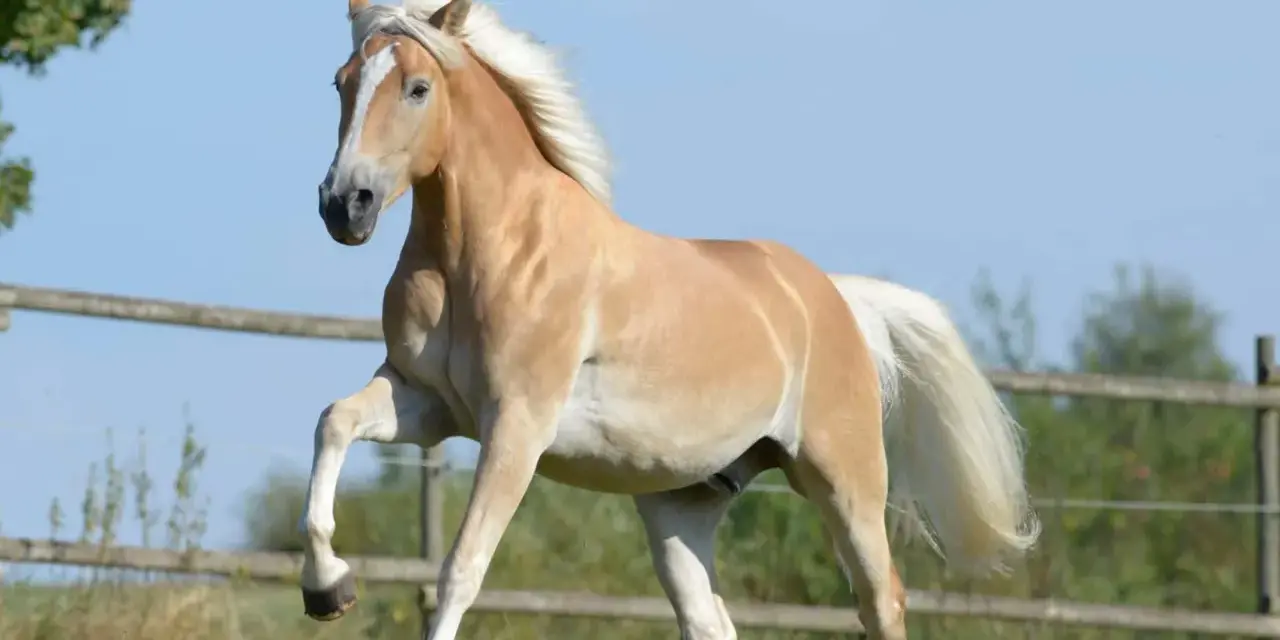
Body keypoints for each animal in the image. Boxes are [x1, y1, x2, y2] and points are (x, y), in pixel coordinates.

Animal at [297, 1, 1040, 638]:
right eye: (341, 83)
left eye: (418, 88)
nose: (344, 204)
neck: (488, 249)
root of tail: (834, 296)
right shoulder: (425, 404)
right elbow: (333, 421)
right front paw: (328, 588)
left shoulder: (515, 427)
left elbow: (460, 571)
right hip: (681, 502)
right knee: (710, 620)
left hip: (844, 479)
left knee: (881, 600)